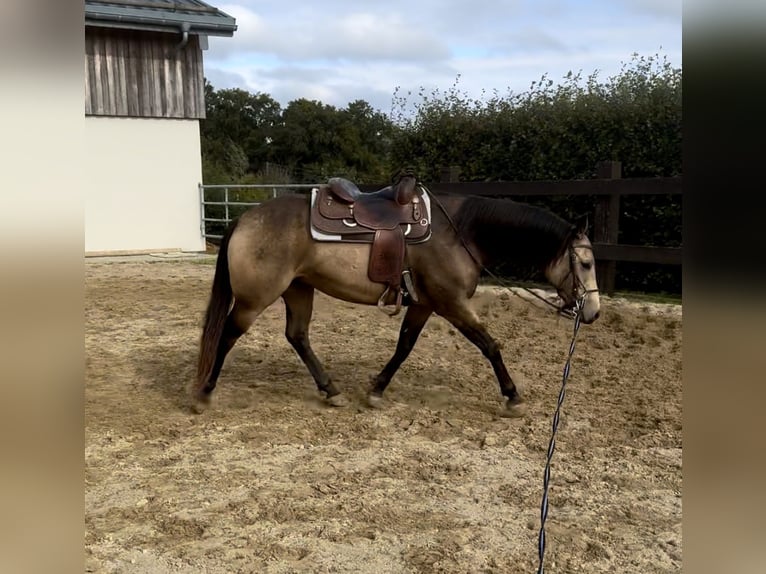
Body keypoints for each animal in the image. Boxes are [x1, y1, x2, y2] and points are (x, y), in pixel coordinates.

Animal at [192, 172, 600, 418]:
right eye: (585, 263)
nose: (592, 312)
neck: (462, 232)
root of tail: (243, 218)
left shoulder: (424, 304)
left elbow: (404, 346)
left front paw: (376, 389)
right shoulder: (452, 304)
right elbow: (490, 345)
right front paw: (512, 396)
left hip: (298, 289)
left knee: (297, 336)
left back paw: (331, 390)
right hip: (255, 299)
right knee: (227, 334)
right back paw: (205, 393)